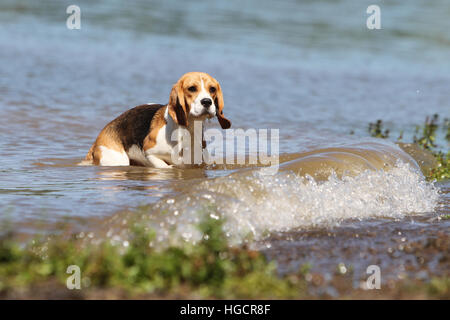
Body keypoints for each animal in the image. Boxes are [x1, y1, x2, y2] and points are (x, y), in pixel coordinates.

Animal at [82, 72, 232, 168]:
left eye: (212, 89)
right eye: (192, 88)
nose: (207, 102)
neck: (187, 130)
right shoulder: (150, 153)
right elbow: (164, 166)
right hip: (118, 160)